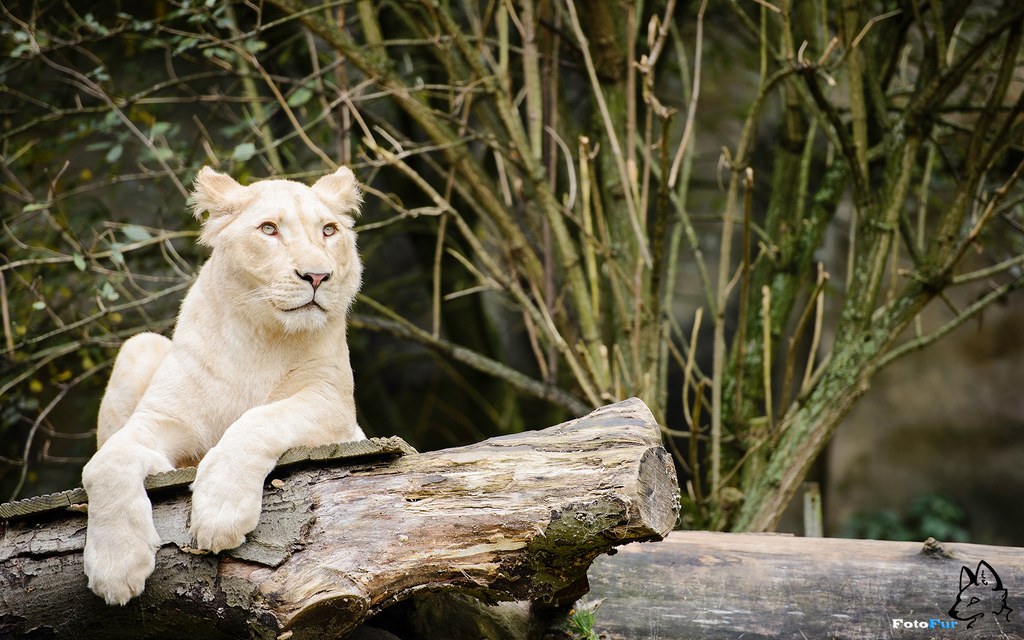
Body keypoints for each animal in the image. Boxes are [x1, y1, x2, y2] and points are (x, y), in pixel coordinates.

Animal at [82, 166, 365, 605]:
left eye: (329, 230)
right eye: (269, 229)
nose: (318, 275)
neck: (262, 337)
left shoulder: (334, 406)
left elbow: (258, 419)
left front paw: (219, 512)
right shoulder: (161, 418)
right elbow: (106, 463)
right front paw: (115, 566)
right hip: (138, 344)